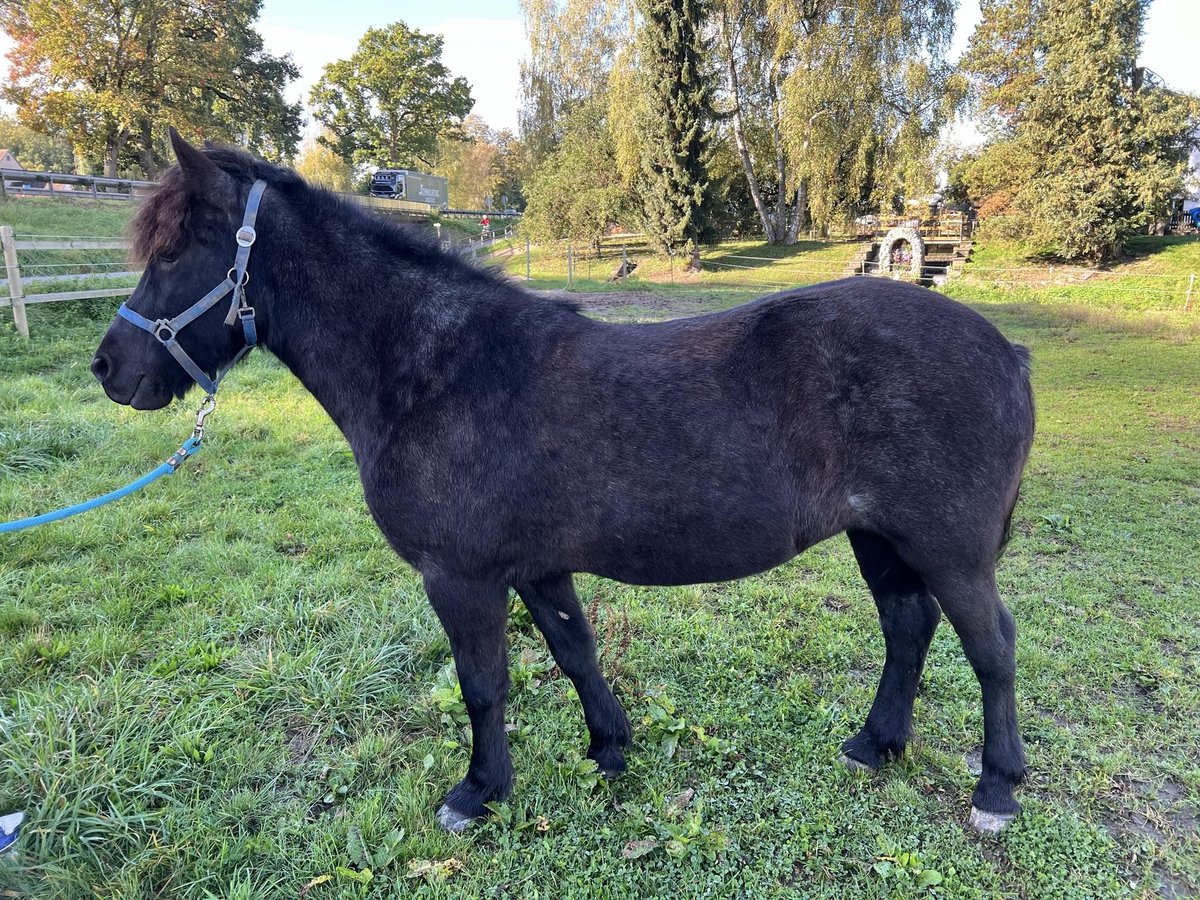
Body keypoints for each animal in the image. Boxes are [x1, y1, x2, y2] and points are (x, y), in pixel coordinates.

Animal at [91, 133, 1032, 840]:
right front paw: (610, 748)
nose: (111, 368)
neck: (434, 370)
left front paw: (478, 792)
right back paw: (875, 745)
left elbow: (484, 684)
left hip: (949, 551)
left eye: (176, 249)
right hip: (880, 538)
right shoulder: (538, 568)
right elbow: (576, 651)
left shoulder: (461, 577)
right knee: (908, 629)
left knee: (990, 647)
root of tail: (1006, 349)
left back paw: (995, 789)